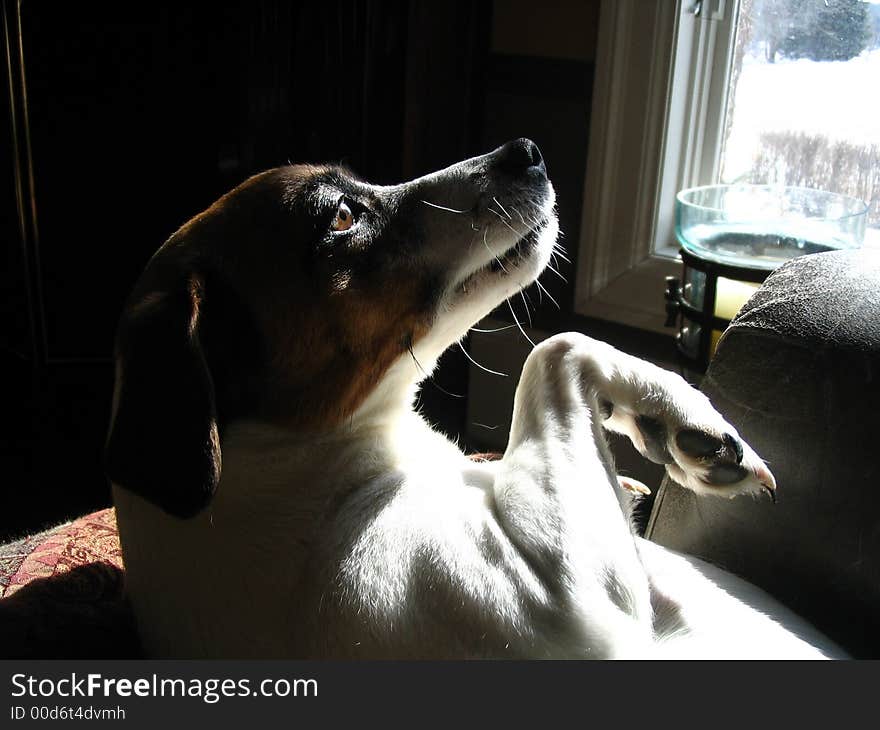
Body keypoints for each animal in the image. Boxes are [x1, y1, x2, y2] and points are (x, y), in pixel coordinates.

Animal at [105, 139, 844, 656]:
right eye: (342, 215)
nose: (526, 149)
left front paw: (664, 424)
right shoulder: (566, 611)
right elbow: (557, 348)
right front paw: (684, 416)